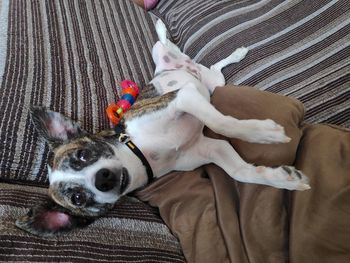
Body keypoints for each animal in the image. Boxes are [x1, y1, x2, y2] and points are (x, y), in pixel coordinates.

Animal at [15, 19, 308, 236]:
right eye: (77, 198)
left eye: (84, 154)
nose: (103, 178)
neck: (142, 152)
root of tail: (166, 68)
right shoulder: (210, 147)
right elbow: (241, 172)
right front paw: (283, 178)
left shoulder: (182, 98)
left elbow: (221, 122)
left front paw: (263, 134)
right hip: (214, 83)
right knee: (213, 67)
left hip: (174, 62)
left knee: (168, 44)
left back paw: (165, 28)